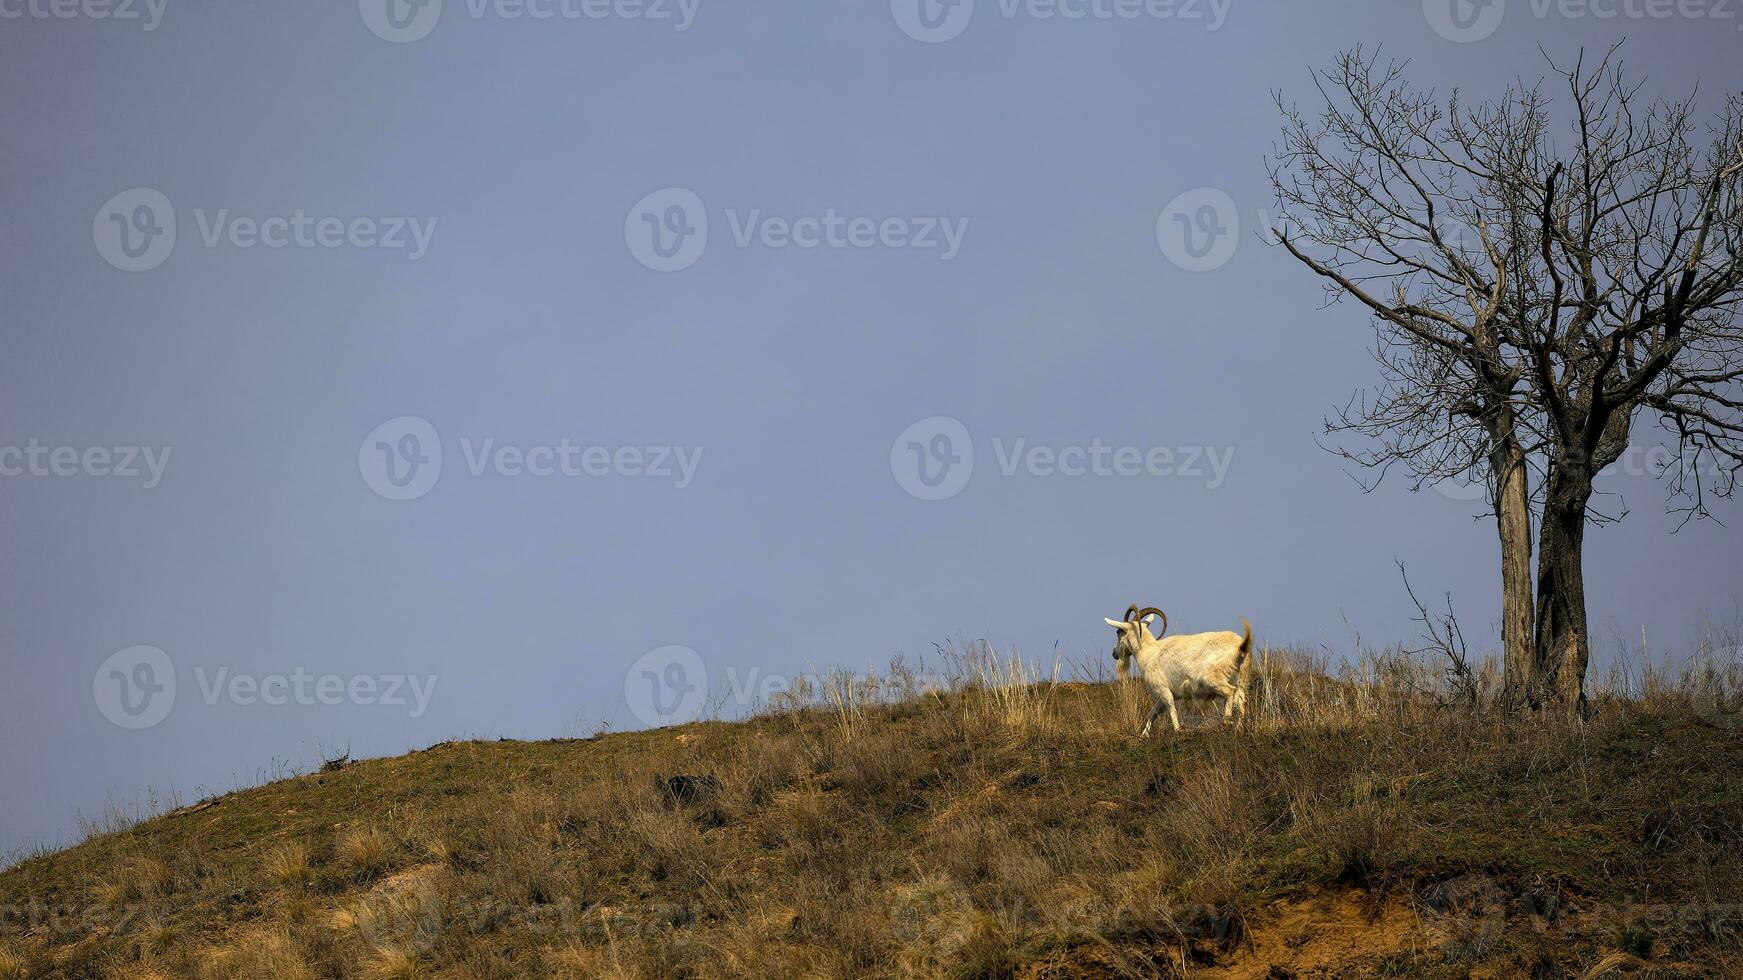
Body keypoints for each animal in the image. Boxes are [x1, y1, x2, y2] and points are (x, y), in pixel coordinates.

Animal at [1101, 603, 1254, 732]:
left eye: (1118, 631)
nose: (1114, 653)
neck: (1149, 653)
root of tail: (1240, 646)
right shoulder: (1164, 695)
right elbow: (1152, 713)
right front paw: (1143, 735)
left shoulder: (1163, 690)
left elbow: (1171, 710)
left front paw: (1177, 730)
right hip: (1240, 680)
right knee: (1241, 701)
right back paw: (1239, 728)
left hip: (1212, 679)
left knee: (1229, 692)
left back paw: (1226, 722)